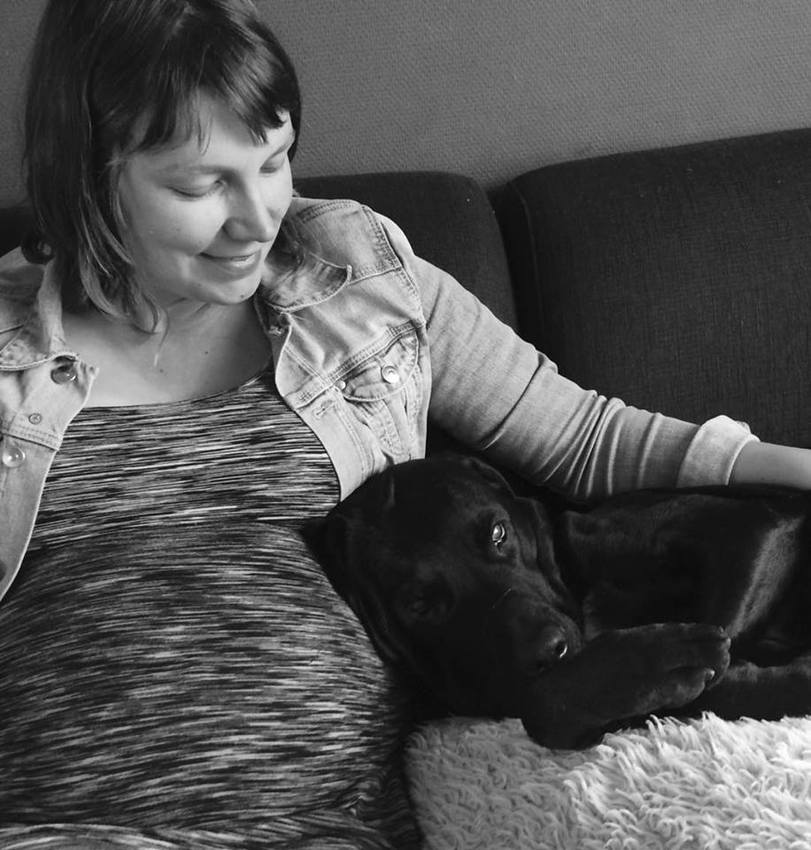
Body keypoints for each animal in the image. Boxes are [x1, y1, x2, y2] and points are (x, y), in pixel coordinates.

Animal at [308, 454, 811, 749]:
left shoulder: (749, 529)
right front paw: (656, 664)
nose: (549, 651)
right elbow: (544, 707)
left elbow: (719, 651)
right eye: (418, 604)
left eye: (498, 533)